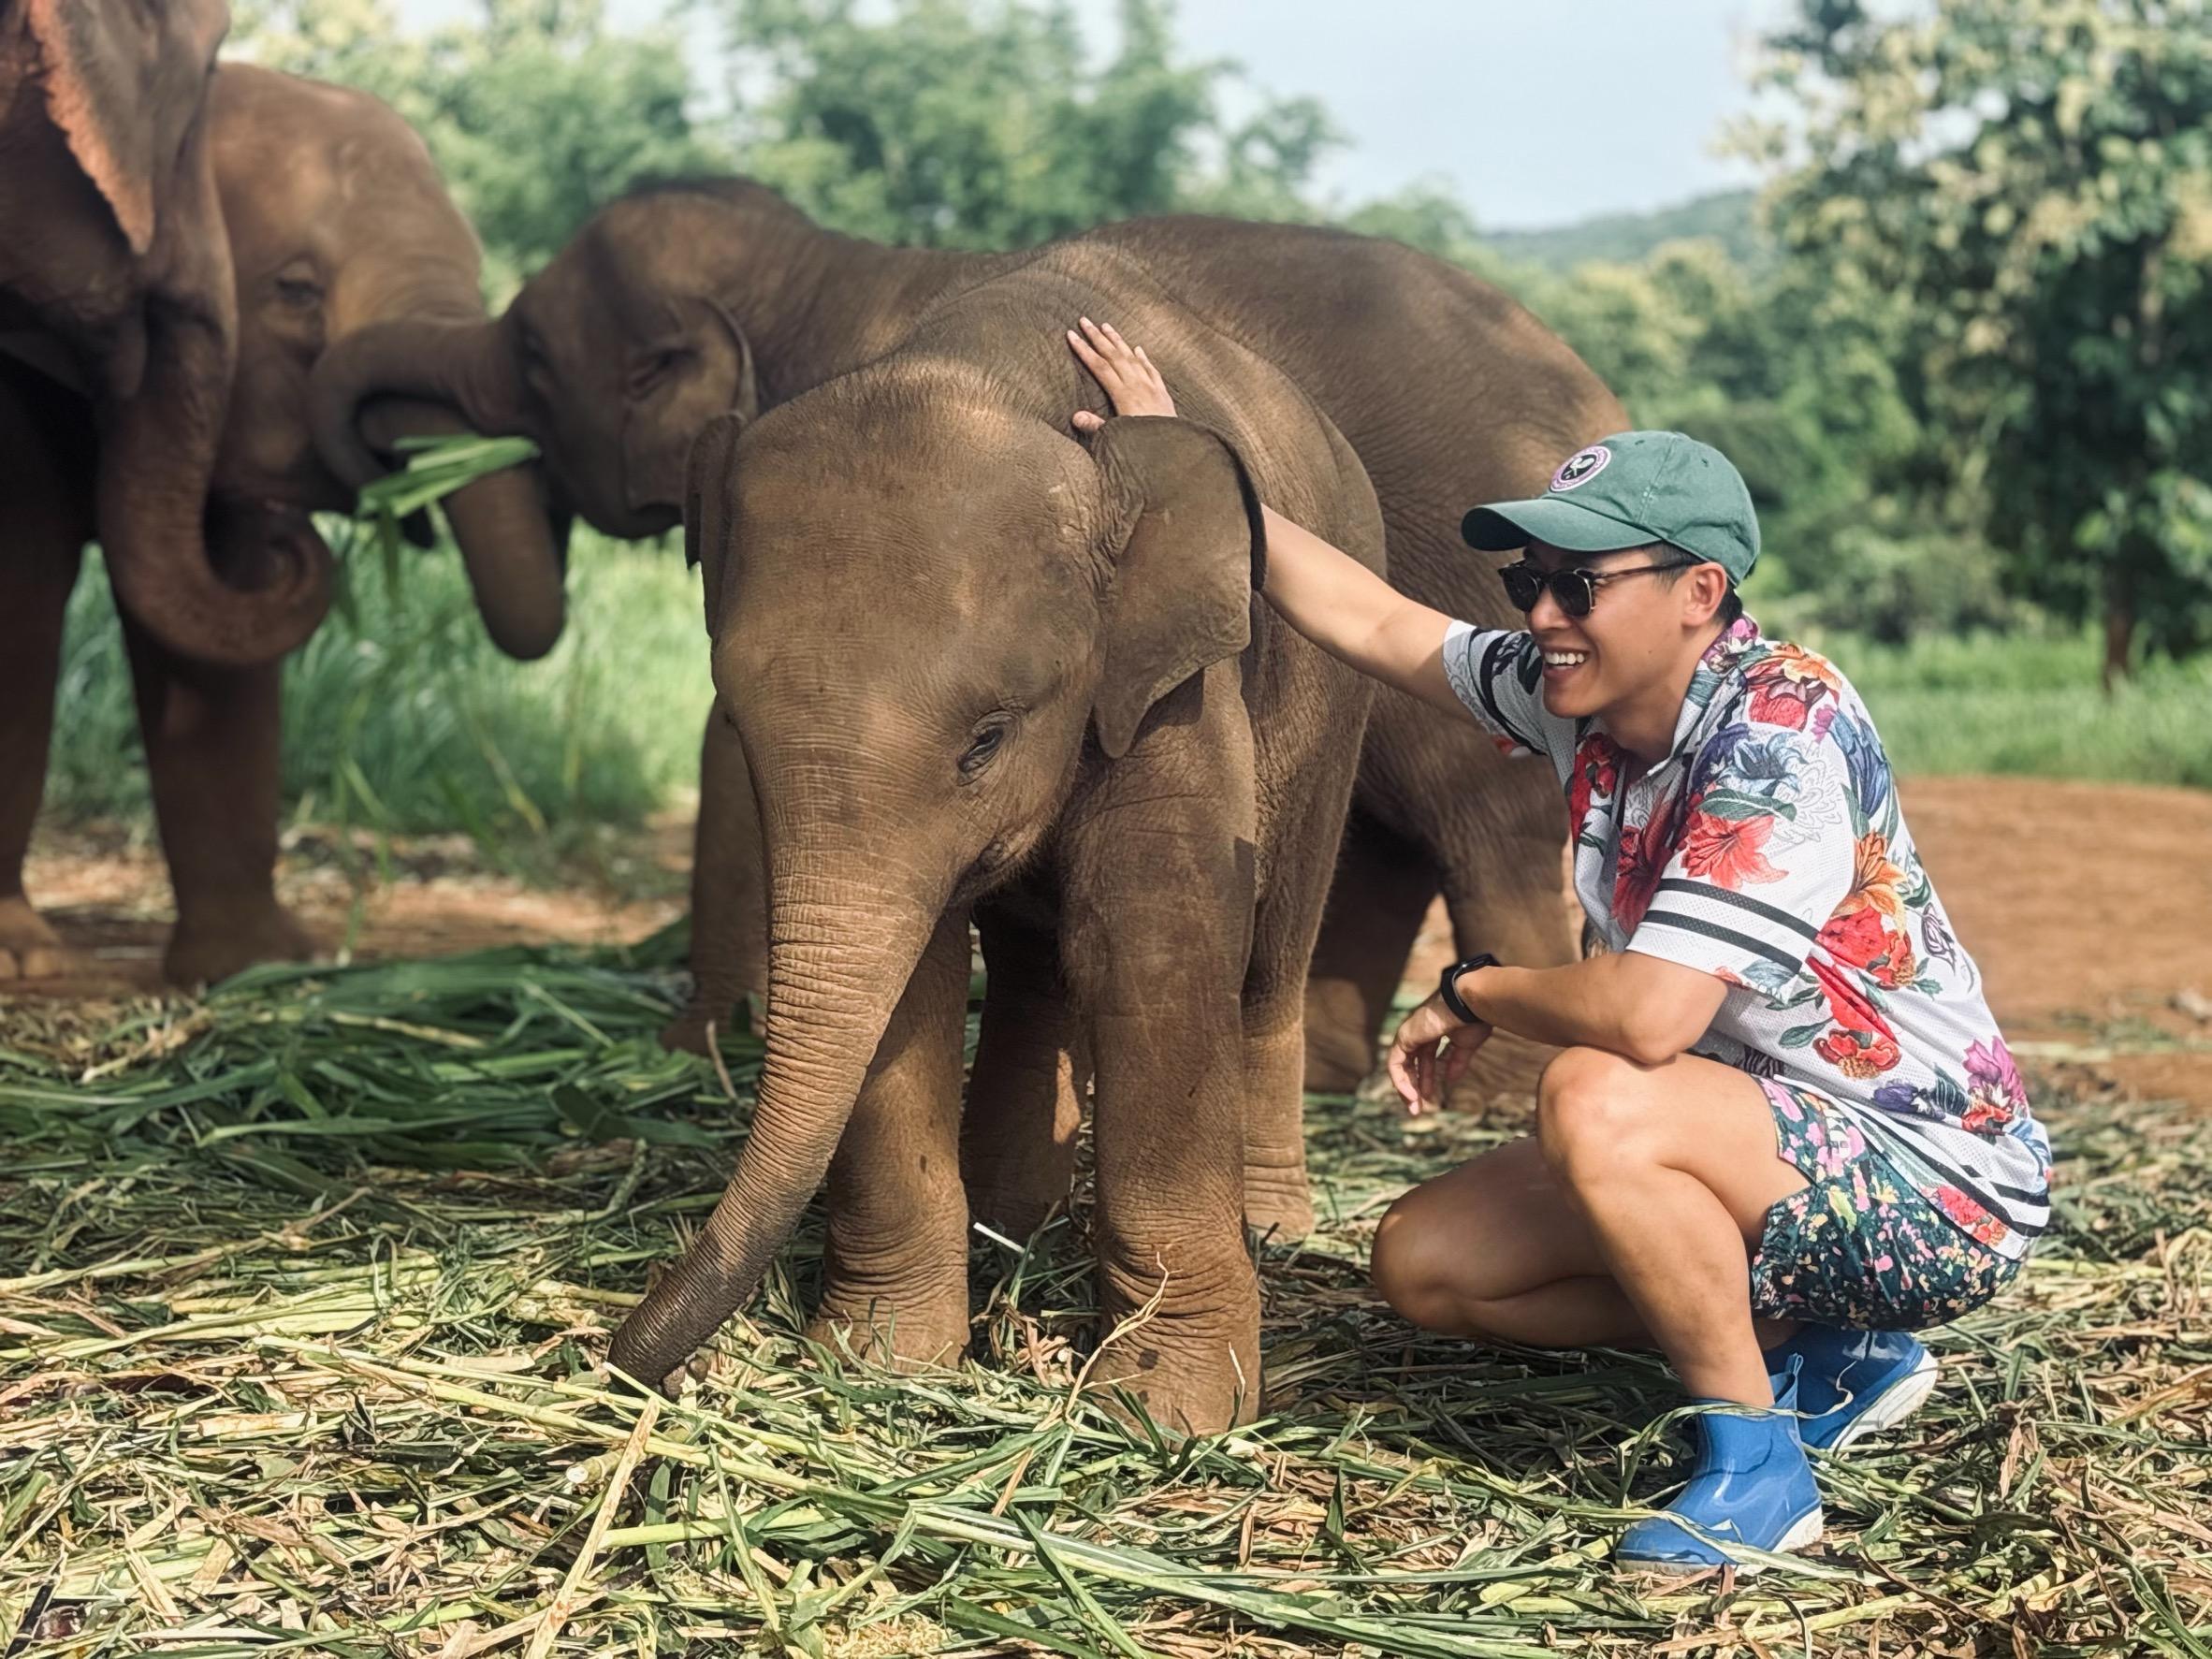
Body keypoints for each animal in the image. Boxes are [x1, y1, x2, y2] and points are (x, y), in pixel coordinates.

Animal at [0, 63, 563, 985]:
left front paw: (258, 970)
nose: (294, 536)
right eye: (295, 291)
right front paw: (23, 962)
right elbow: (22, 589)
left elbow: (214, 649)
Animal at [308, 180, 1627, 1148]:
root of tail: (1596, 393)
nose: (392, 498)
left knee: (1482, 813)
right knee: (1388, 825)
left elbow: (725, 755)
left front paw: (695, 1047)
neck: (812, 268)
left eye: (534, 361)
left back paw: (1487, 1096)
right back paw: (1341, 1077)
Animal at [611, 240, 1388, 1434]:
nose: (616, 1356)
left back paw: (1270, 1225)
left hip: (1332, 717)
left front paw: (1164, 1411)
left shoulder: (1174, 684)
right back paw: (1010, 1224)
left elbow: (1152, 943)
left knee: (1272, 955)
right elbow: (915, 977)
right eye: (734, 723)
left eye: (987, 738)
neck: (988, 377)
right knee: (1032, 970)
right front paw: (883, 1362)